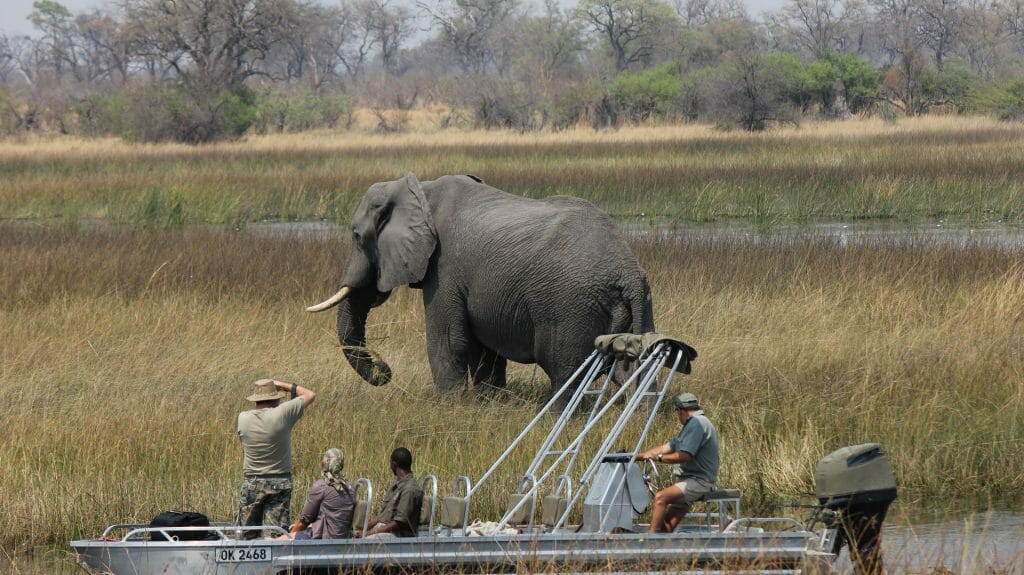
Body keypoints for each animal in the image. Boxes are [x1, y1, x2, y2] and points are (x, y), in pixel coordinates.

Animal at [306, 173, 656, 394]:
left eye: (356, 236)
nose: (384, 370)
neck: (421, 190)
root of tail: (627, 269)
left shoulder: (445, 268)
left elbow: (449, 342)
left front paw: (452, 406)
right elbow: (486, 349)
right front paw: (489, 401)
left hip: (571, 308)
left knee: (565, 372)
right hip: (639, 305)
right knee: (631, 371)